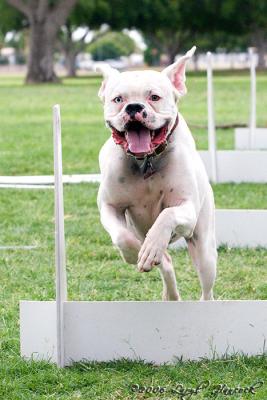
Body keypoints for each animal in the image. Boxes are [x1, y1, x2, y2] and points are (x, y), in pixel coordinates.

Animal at [97, 47, 218, 300]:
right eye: (118, 99)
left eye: (154, 97)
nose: (134, 107)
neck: (146, 160)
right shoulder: (109, 207)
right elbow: (122, 237)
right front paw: (135, 253)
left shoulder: (187, 209)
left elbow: (167, 215)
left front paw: (151, 246)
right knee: (166, 262)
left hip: (205, 250)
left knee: (207, 288)